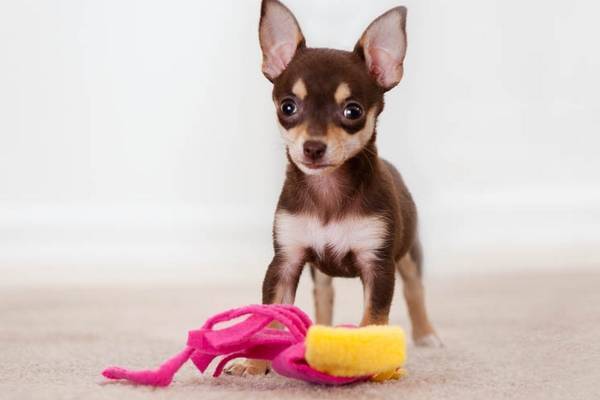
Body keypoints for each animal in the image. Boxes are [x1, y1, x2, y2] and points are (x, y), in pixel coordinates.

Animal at [225, 0, 440, 376]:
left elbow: (374, 318)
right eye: (288, 107)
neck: (328, 192)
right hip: (317, 269)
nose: (313, 147)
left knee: (415, 288)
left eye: (352, 111)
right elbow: (272, 314)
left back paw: (426, 334)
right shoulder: (285, 261)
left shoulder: (378, 265)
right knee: (324, 295)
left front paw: (375, 365)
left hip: (408, 252)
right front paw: (253, 365)